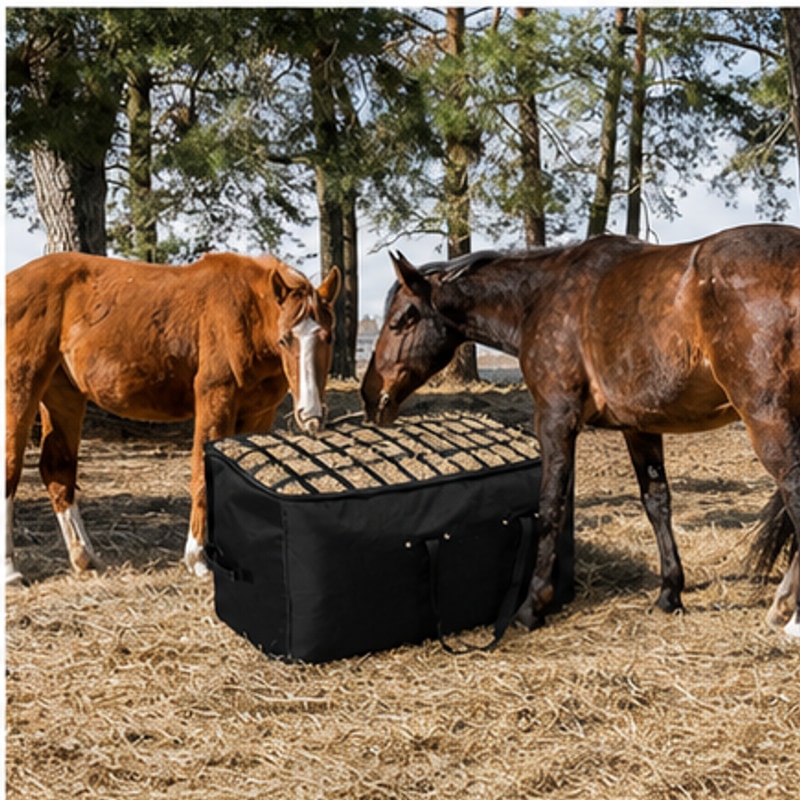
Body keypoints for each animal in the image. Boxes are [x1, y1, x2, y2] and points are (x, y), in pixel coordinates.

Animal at [6, 251, 341, 582]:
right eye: (285, 339)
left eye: (329, 337)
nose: (310, 413)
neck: (248, 314)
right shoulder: (215, 398)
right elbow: (202, 476)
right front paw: (198, 560)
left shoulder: (258, 414)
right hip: (20, 387)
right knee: (11, 467)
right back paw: (11, 570)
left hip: (63, 395)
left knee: (57, 469)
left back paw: (85, 558)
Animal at [360, 224, 800, 638]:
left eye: (402, 320)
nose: (370, 394)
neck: (540, 298)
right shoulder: (639, 428)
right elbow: (657, 503)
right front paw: (669, 593)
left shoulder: (556, 419)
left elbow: (551, 506)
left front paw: (531, 607)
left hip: (765, 416)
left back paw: (785, 610)